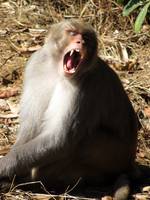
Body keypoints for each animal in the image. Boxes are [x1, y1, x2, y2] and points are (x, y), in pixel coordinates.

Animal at [0, 19, 138, 200]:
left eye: (86, 38)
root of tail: (130, 163)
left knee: (83, 141)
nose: (81, 42)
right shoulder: (36, 65)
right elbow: (30, 128)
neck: (58, 71)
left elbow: (59, 140)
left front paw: (4, 168)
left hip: (115, 156)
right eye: (73, 33)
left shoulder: (84, 86)